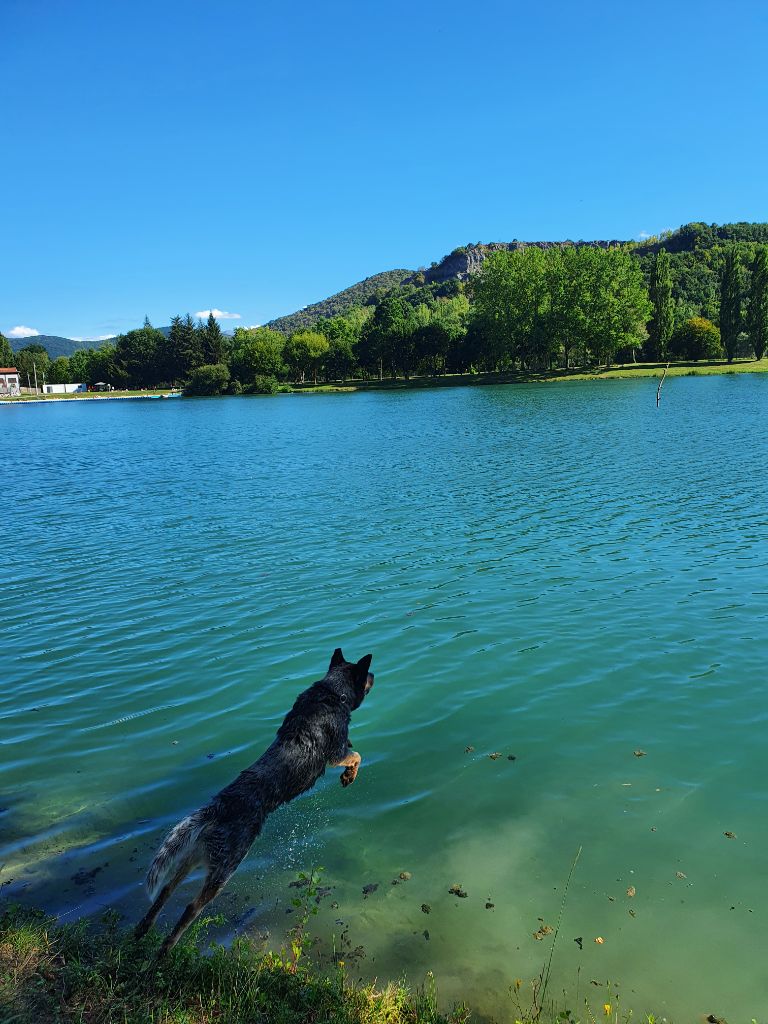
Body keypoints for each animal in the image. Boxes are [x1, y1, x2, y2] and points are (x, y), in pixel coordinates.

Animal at [135, 647, 376, 950]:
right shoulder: (335, 753)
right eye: (366, 674)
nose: (374, 674)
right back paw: (165, 950)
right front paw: (349, 776)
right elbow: (356, 756)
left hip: (192, 856)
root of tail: (217, 807)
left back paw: (143, 930)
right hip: (225, 868)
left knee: (166, 890)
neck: (333, 692)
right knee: (190, 909)